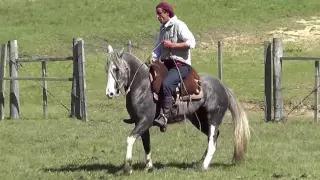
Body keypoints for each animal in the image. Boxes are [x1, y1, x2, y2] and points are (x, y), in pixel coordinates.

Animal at [105, 45, 250, 174]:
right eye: (106, 69)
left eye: (116, 69)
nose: (110, 93)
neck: (143, 86)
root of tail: (222, 86)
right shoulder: (140, 122)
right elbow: (146, 144)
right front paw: (148, 167)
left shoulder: (144, 121)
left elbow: (130, 139)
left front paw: (127, 168)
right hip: (198, 120)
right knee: (212, 137)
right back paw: (201, 161)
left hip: (213, 118)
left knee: (212, 141)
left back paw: (203, 166)